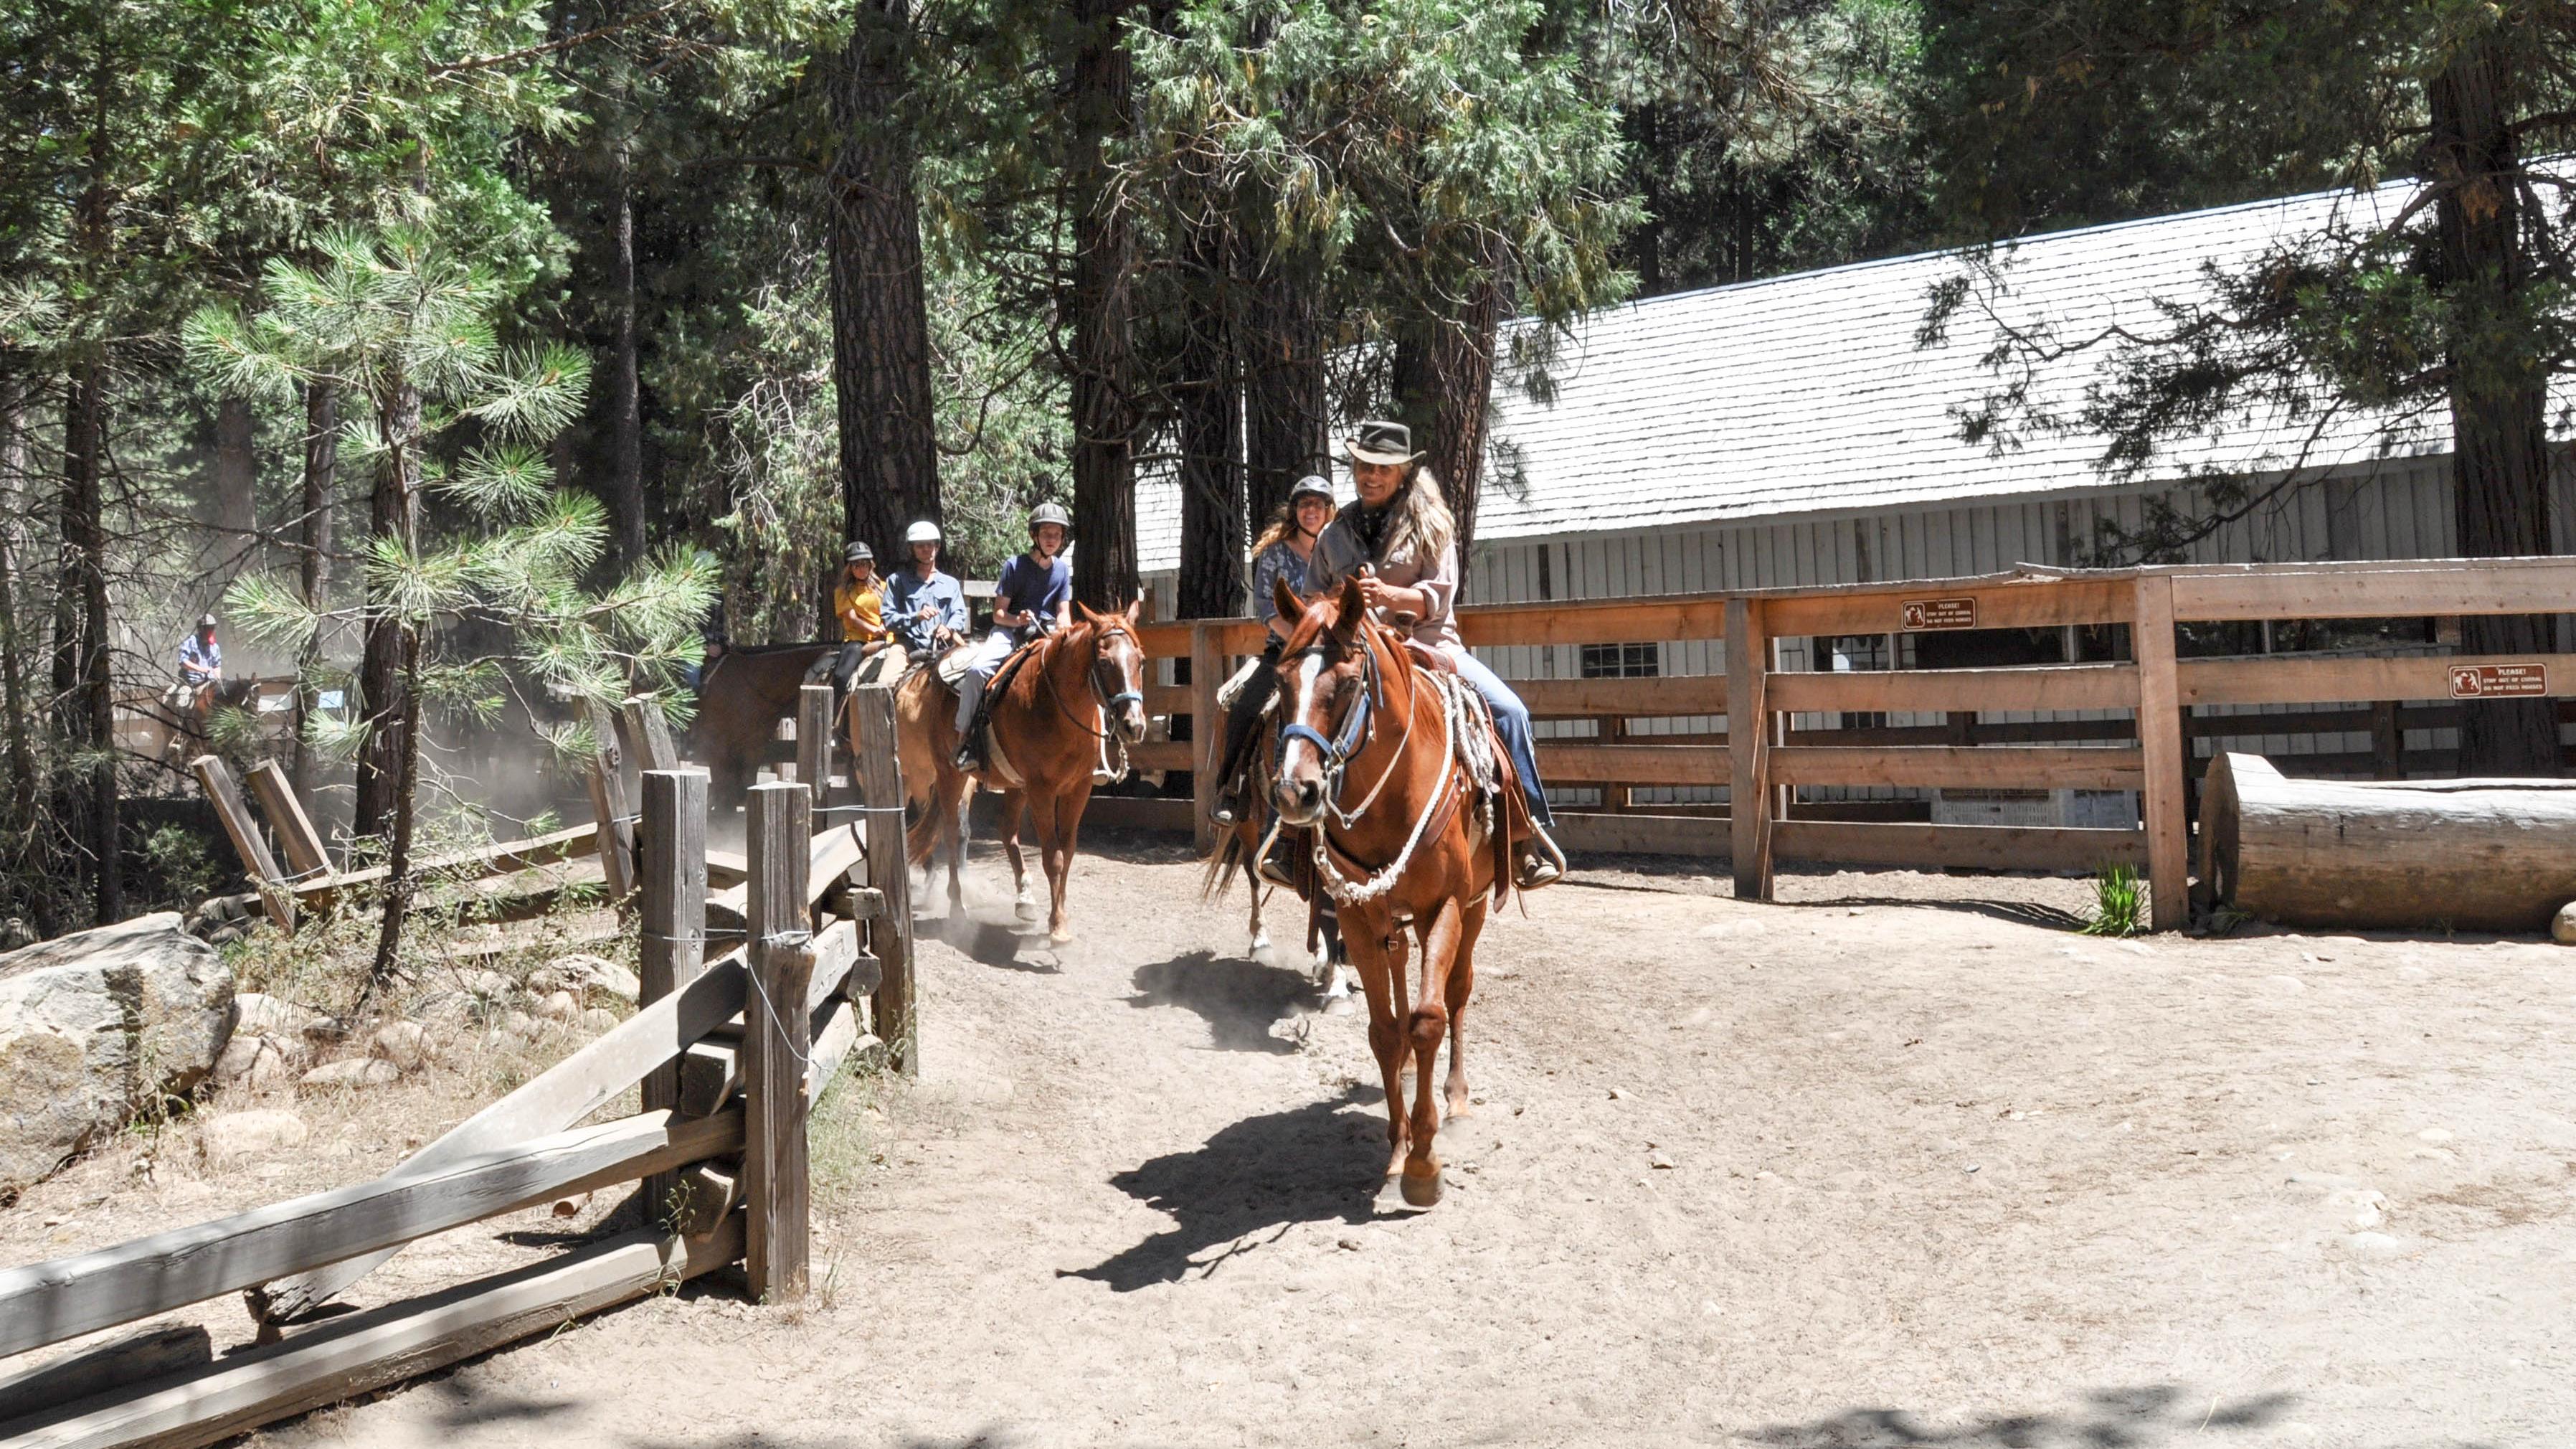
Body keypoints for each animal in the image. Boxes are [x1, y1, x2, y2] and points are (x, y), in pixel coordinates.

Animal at [876, 598, 1149, 938]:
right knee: (952, 832)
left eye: (1140, 661)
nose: (1134, 726)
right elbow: (1053, 857)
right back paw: (957, 905)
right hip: (949, 774)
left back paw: (1025, 899)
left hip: (1014, 783)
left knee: (1006, 830)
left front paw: (1059, 917)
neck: (1055, 706)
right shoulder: (1042, 790)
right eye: (1104, 662)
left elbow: (1068, 852)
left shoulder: (1078, 788)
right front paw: (1057, 928)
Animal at [1262, 570, 1515, 1201]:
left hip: (1475, 907)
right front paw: (1399, 1149)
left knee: (1456, 994)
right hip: (1389, 918)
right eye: (1280, 680)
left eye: (1349, 683)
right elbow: (1383, 1030)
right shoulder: (1357, 917)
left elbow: (1428, 1019)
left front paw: (1424, 1163)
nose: (1295, 792)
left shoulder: (1444, 906)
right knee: (1400, 979)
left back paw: (1455, 1098)